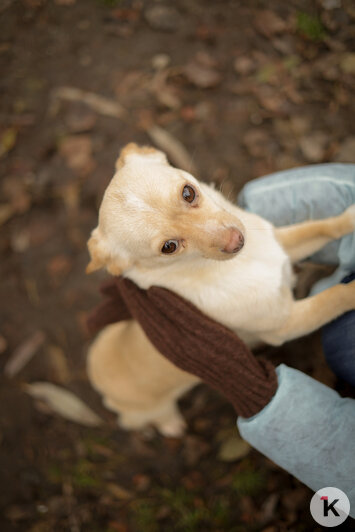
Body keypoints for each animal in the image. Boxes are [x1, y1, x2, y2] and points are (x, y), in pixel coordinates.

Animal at [87, 142, 355, 436]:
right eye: (169, 247)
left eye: (188, 193)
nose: (236, 241)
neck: (241, 262)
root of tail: (95, 374)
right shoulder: (286, 324)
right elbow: (335, 295)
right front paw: (352, 290)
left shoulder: (284, 244)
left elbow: (320, 228)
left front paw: (349, 219)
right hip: (145, 411)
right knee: (144, 419)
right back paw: (170, 425)